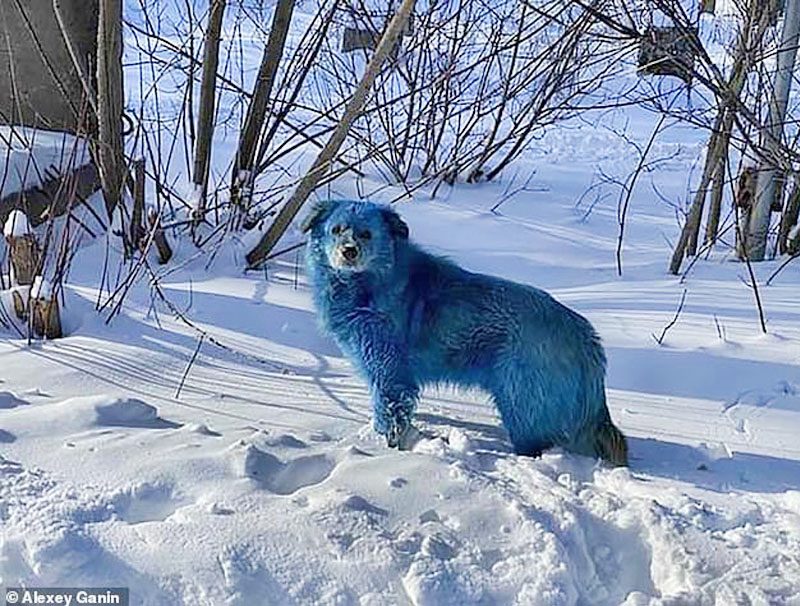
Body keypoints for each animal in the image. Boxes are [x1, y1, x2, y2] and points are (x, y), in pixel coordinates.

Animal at [304, 200, 628, 466]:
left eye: (366, 234)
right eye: (336, 230)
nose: (348, 252)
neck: (371, 282)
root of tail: (585, 337)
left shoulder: (388, 372)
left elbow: (389, 412)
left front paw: (385, 448)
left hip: (520, 403)